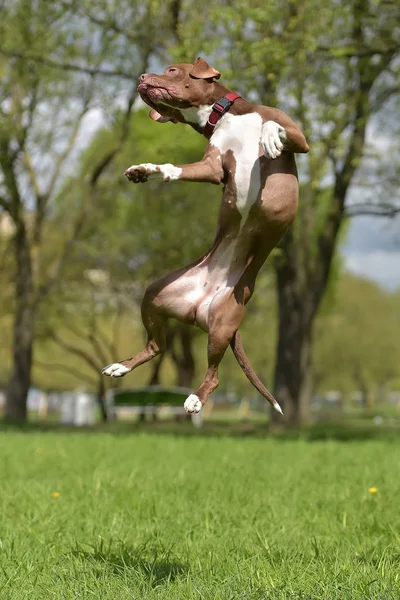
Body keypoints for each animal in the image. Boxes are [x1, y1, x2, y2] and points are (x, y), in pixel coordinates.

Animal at [101, 56, 308, 414]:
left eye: (172, 70)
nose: (141, 77)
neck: (224, 116)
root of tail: (200, 304)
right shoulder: (213, 165)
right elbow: (175, 168)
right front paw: (146, 170)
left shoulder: (300, 138)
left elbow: (274, 126)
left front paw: (269, 138)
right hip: (155, 296)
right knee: (159, 347)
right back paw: (124, 367)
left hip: (223, 321)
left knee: (214, 376)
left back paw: (195, 397)